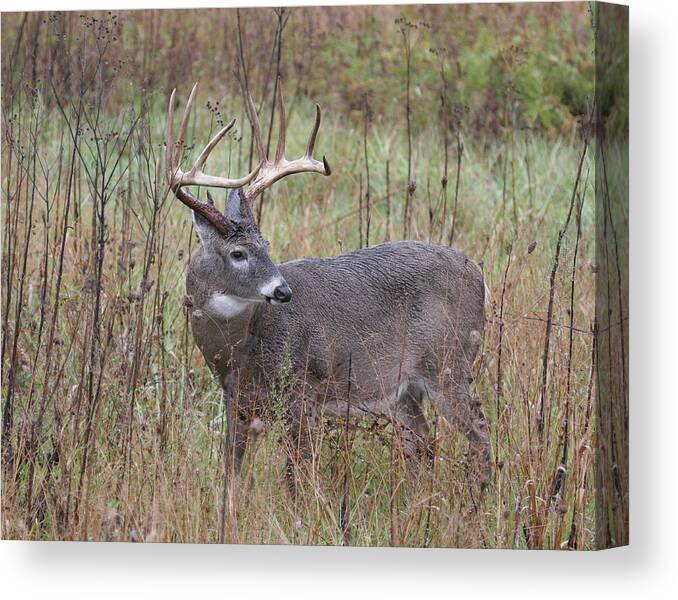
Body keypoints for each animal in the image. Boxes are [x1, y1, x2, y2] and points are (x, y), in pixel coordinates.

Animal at [167, 78, 492, 510]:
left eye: (266, 245)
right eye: (238, 253)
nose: (283, 290)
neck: (241, 349)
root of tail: (479, 275)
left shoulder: (303, 393)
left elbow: (295, 475)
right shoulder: (237, 403)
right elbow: (231, 475)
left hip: (449, 361)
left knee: (480, 432)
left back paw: (479, 501)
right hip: (405, 388)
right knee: (423, 442)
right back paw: (413, 506)